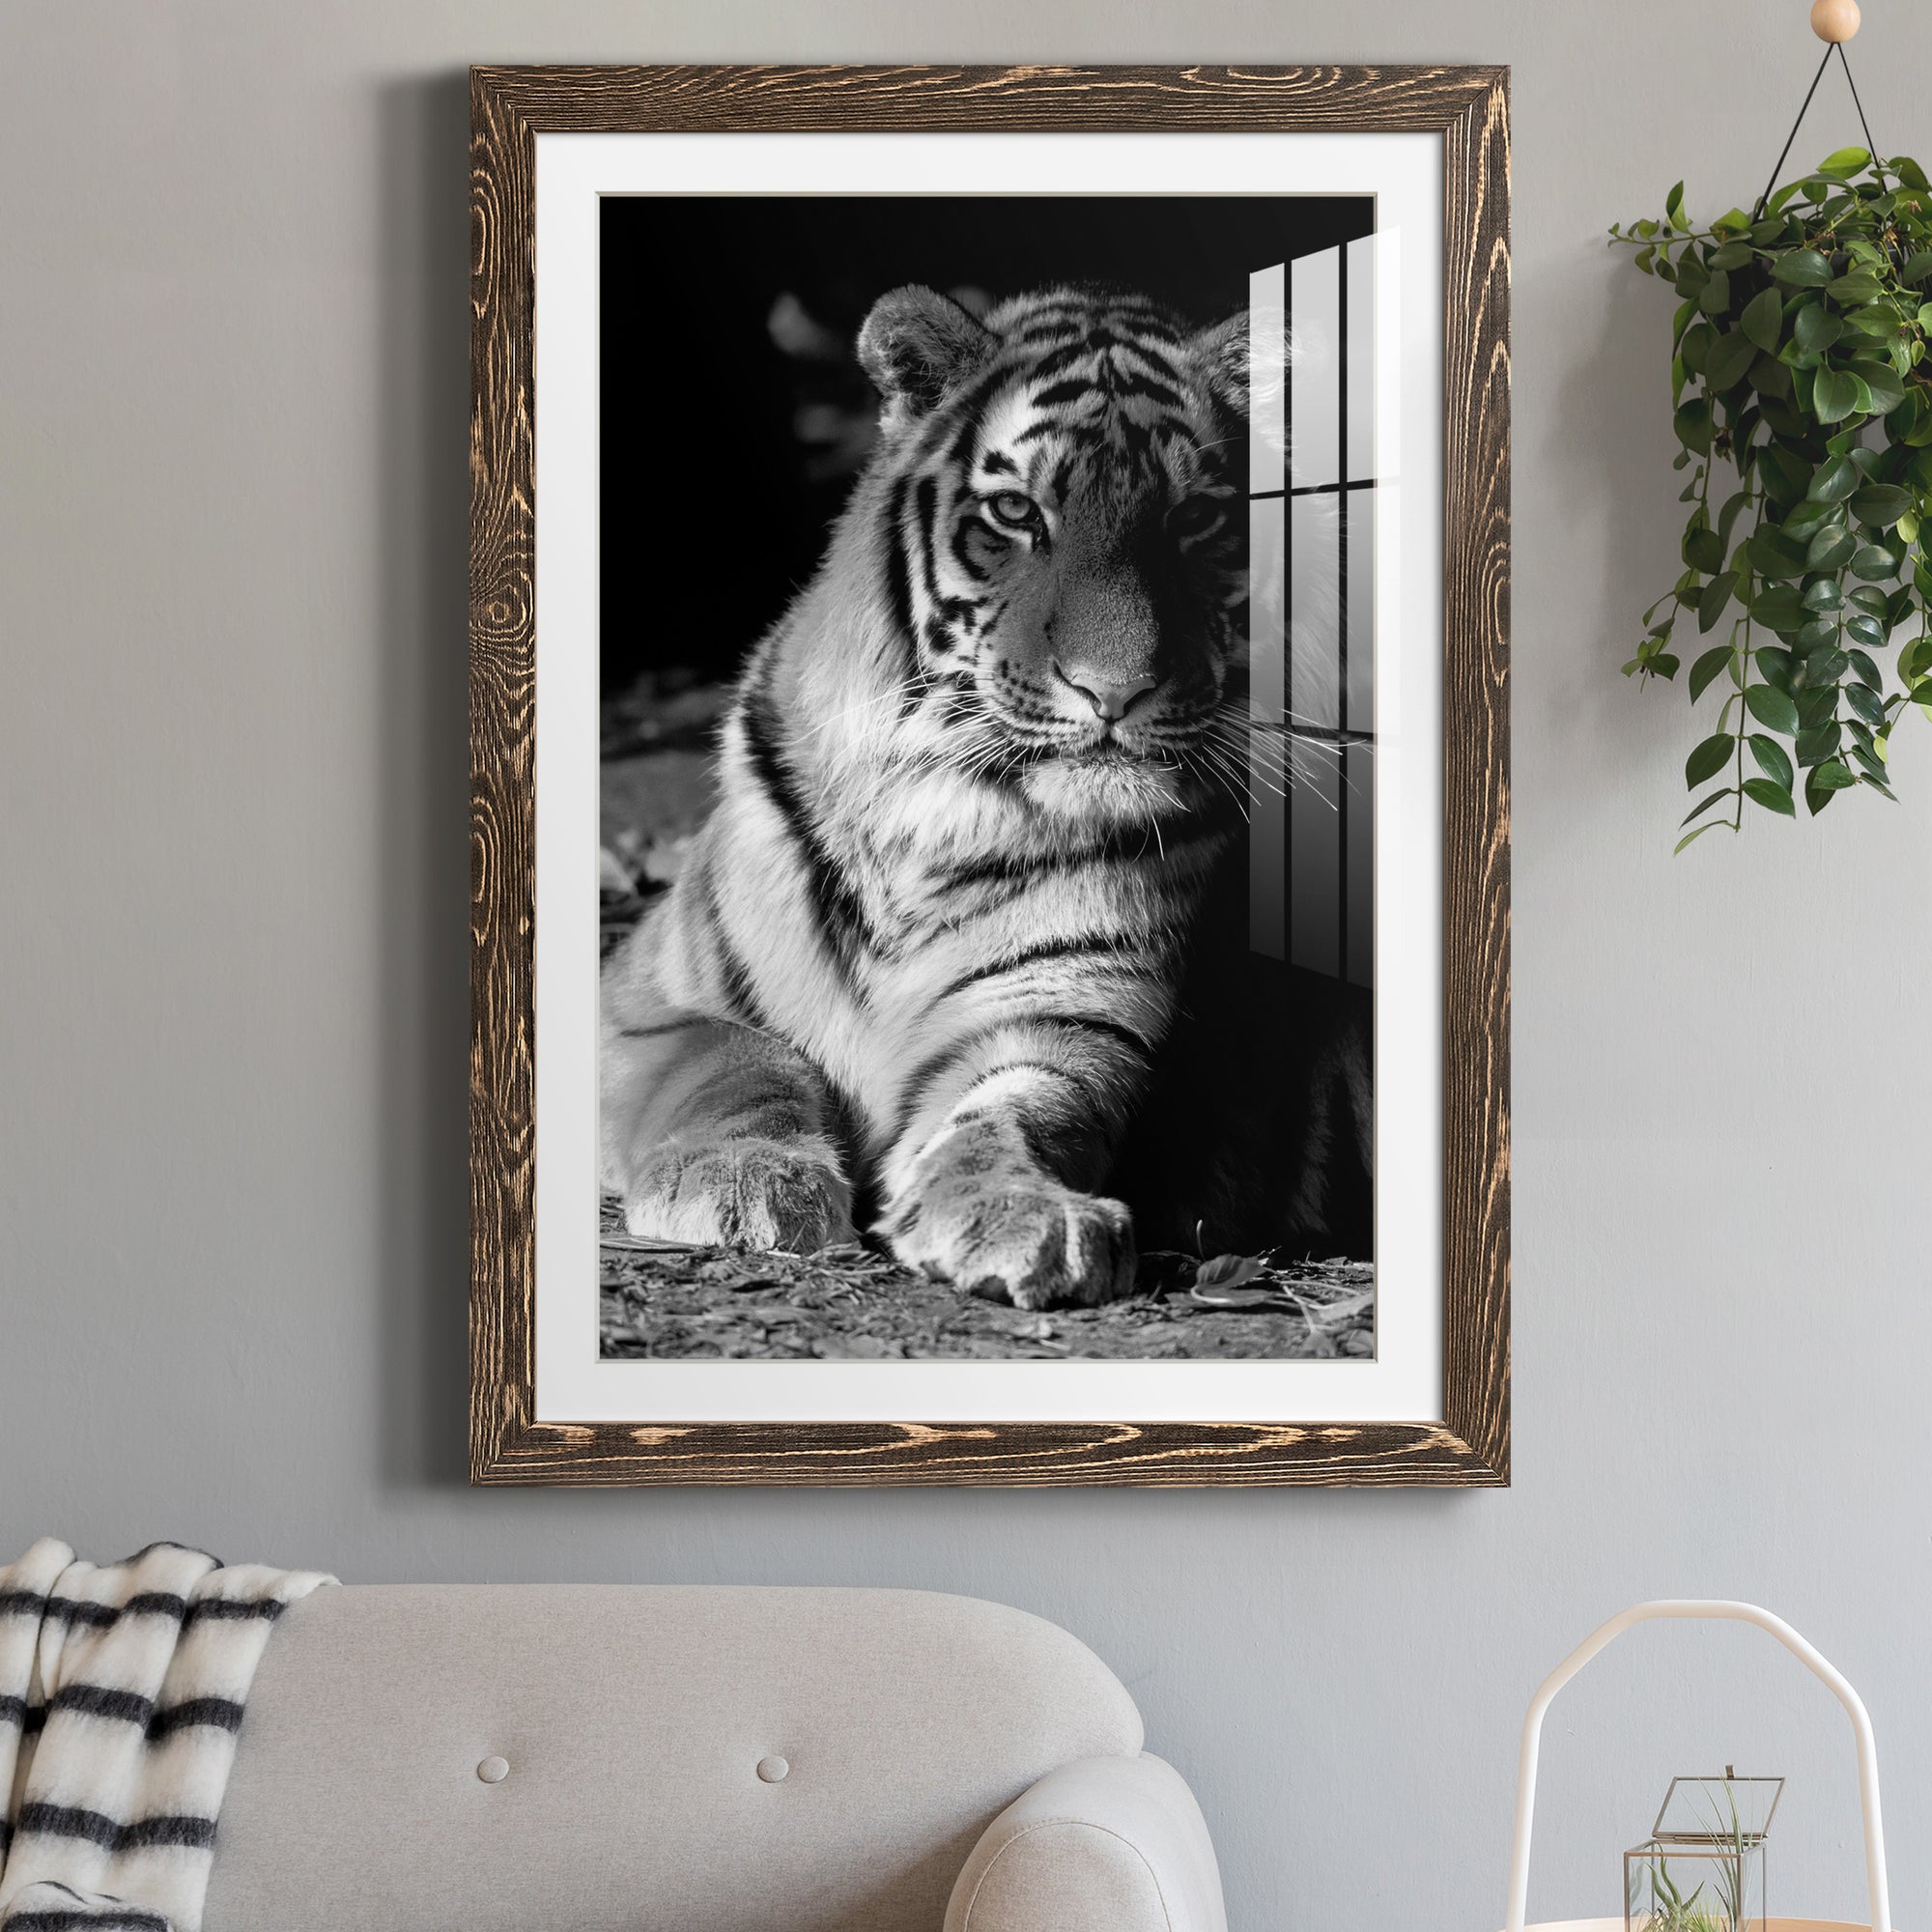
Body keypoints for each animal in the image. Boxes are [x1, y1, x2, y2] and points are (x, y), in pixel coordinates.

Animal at [600, 280, 1372, 1310]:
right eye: (1016, 512)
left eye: (1195, 520)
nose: (1115, 691)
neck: (938, 812)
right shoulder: (642, 999)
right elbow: (737, 1061)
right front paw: (743, 1182)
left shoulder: (1061, 1017)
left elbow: (1013, 1113)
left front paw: (1024, 1215)